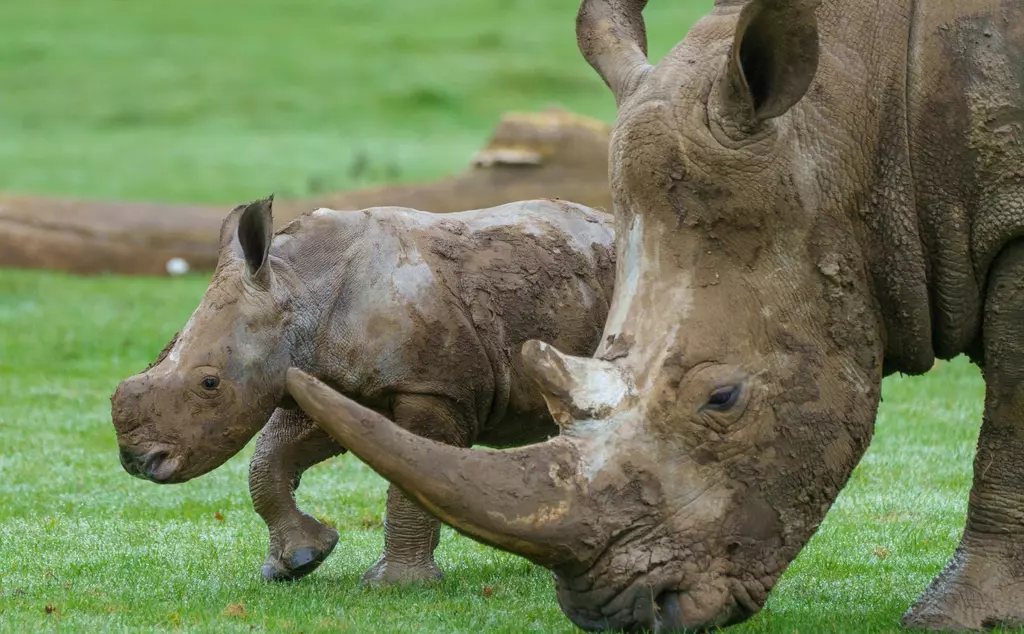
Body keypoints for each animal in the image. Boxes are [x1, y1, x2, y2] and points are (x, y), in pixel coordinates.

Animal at [110, 197, 614, 585]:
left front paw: (396, 585)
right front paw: (297, 562)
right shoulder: (324, 380)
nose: (139, 462)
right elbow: (268, 460)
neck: (300, 287)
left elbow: (406, 477)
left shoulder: (432, 388)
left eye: (210, 383)